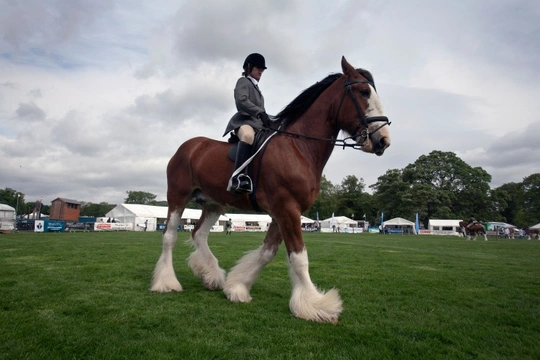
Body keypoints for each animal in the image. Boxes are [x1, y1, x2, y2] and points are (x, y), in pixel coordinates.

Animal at [150, 57, 390, 324]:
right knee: (170, 236)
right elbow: (299, 258)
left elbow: (267, 253)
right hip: (178, 197)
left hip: (214, 203)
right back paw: (166, 283)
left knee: (199, 234)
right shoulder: (287, 209)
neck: (299, 147)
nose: (383, 140)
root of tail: (188, 146)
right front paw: (315, 305)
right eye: (364, 92)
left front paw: (237, 287)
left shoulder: (283, 212)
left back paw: (212, 275)